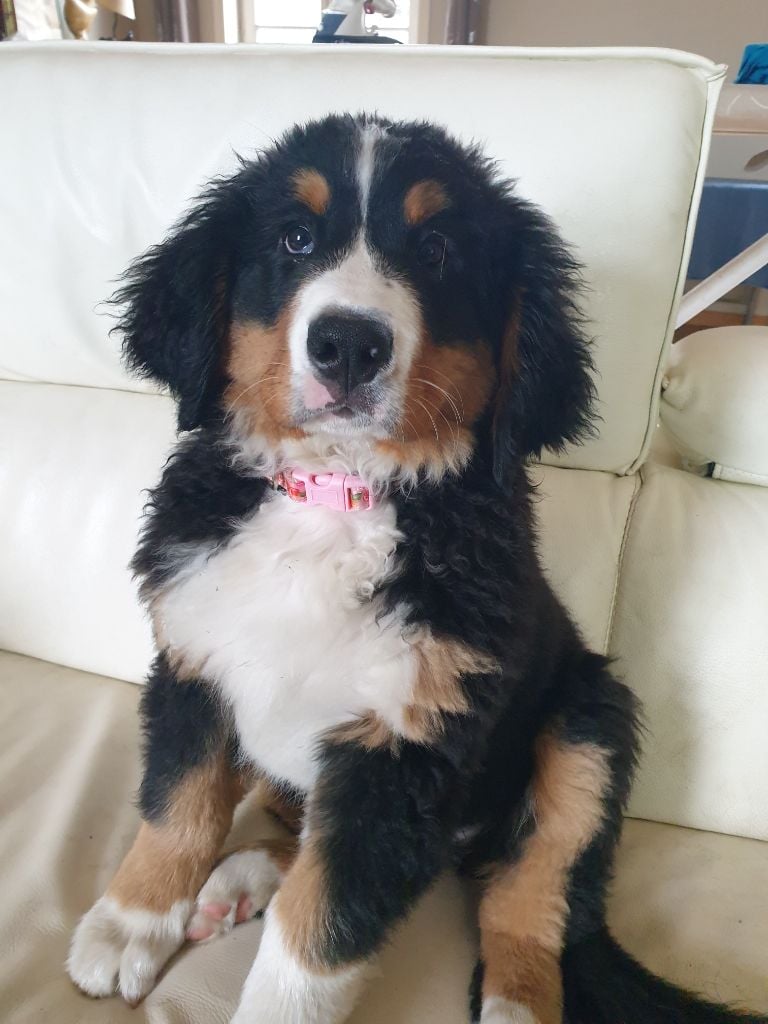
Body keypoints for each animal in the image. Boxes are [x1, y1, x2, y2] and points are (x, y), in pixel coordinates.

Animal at [67, 114, 766, 1024]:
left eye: (437, 252)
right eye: (295, 239)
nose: (348, 344)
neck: (336, 496)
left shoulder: (405, 748)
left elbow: (319, 929)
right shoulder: (194, 660)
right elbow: (176, 809)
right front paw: (130, 923)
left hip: (588, 726)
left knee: (533, 902)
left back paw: (514, 1002)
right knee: (305, 829)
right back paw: (241, 876)